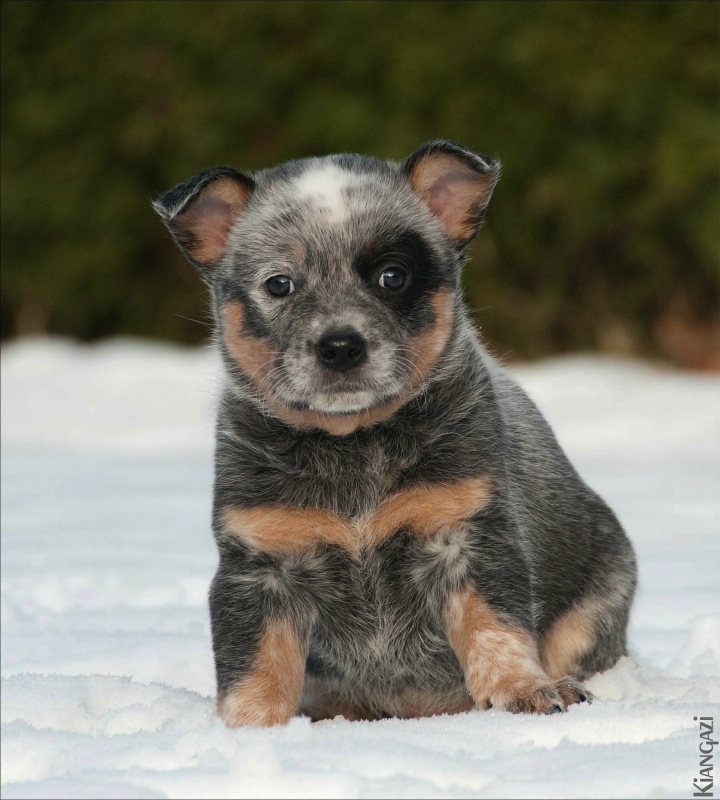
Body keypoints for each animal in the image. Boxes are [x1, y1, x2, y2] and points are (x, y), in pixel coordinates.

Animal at [155, 141, 640, 728]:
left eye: (392, 276)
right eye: (279, 283)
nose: (340, 346)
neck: (352, 444)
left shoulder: (467, 535)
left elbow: (495, 628)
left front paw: (524, 689)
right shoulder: (259, 562)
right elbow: (257, 665)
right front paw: (250, 728)